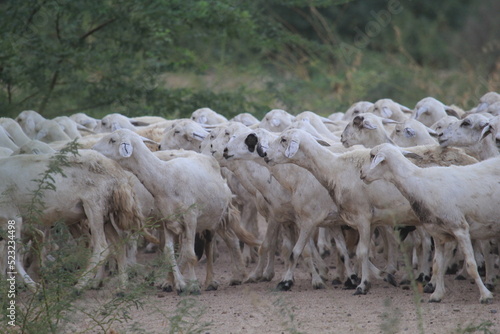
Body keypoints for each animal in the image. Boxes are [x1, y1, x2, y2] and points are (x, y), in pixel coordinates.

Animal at [360, 144, 500, 302]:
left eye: (372, 156)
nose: (361, 172)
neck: (421, 183)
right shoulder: (438, 233)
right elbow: (437, 265)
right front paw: (437, 294)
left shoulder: (460, 228)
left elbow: (471, 265)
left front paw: (485, 295)